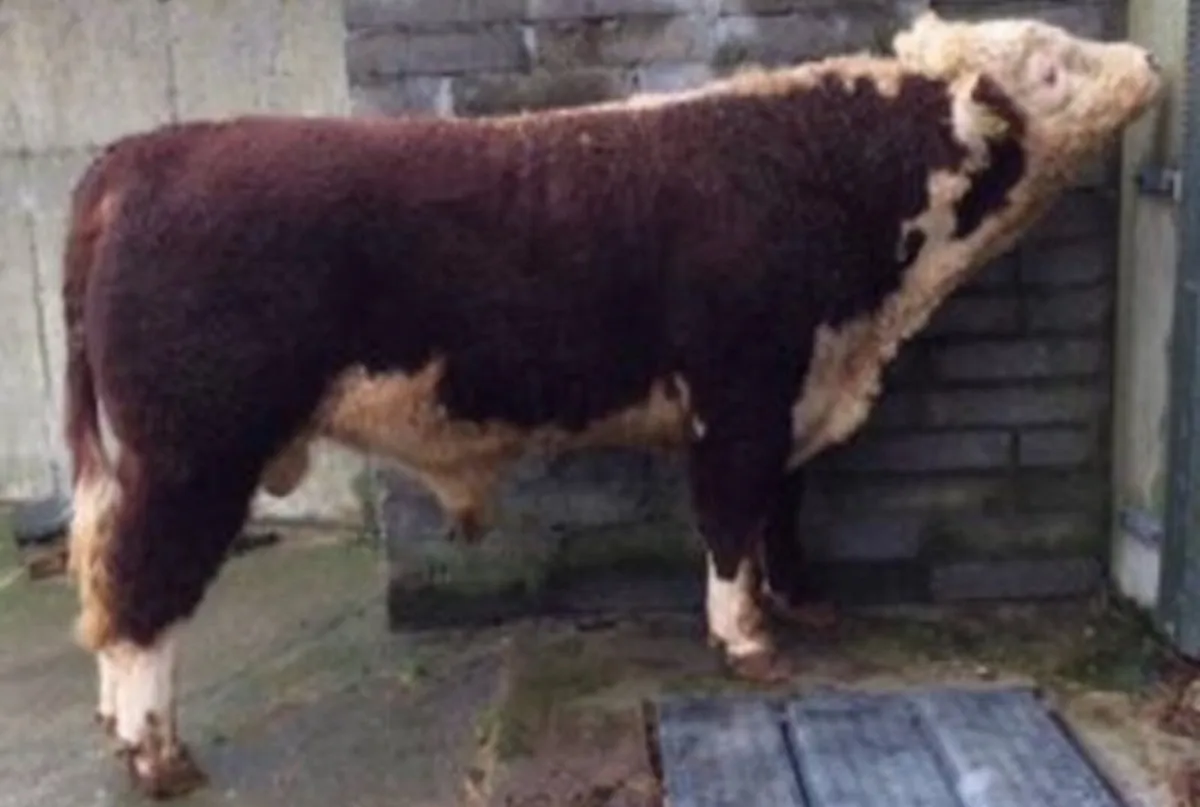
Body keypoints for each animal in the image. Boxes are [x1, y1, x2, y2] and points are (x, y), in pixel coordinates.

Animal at [59, 10, 1161, 798]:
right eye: (1050, 61)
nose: (1151, 55)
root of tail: (142, 154)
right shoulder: (740, 397)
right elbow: (731, 517)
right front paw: (746, 641)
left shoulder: (797, 394)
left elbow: (782, 511)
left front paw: (799, 601)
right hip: (194, 451)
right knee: (142, 592)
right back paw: (158, 757)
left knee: (110, 580)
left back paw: (120, 733)